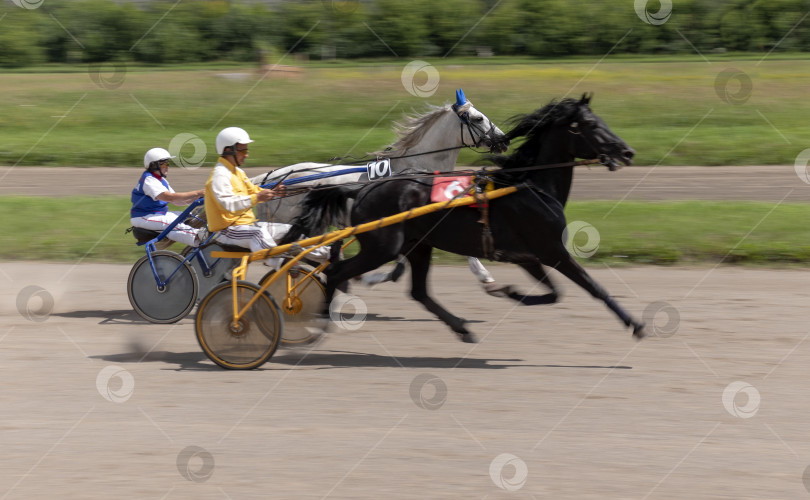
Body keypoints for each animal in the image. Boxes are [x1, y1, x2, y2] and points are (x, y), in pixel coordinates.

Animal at [282, 94, 644, 342]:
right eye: (592, 126)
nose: (627, 152)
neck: (529, 185)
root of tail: (360, 192)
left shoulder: (529, 255)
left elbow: (553, 292)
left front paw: (505, 290)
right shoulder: (552, 250)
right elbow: (593, 287)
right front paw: (636, 324)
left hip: (416, 245)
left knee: (415, 291)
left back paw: (460, 327)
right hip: (382, 246)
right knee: (331, 268)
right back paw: (317, 318)